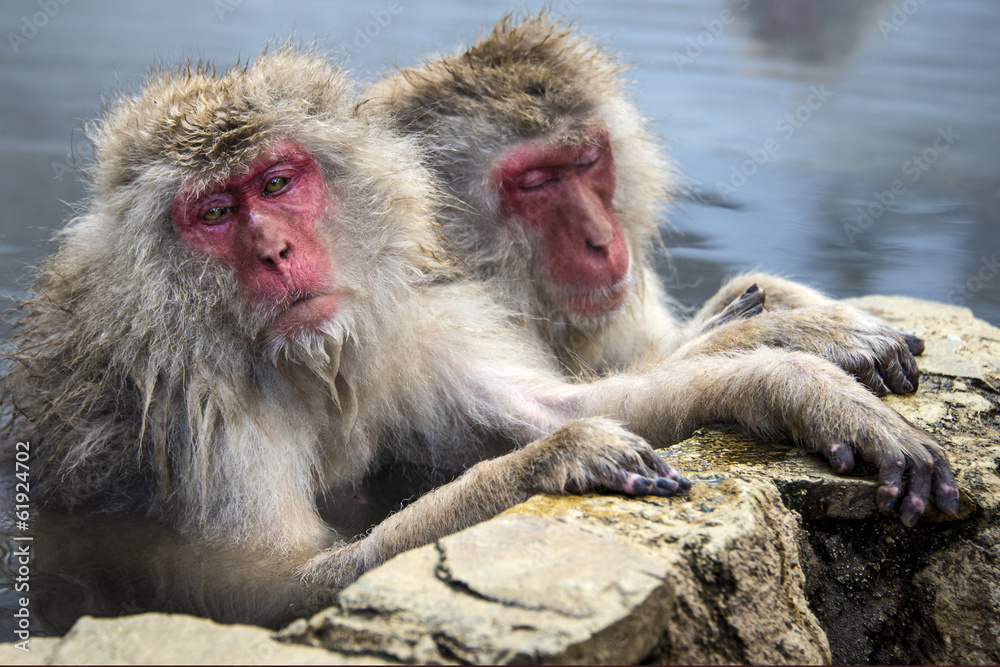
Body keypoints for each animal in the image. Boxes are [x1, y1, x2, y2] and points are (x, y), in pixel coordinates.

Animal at [1, 44, 960, 628]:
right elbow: (263, 587)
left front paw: (801, 375)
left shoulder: (409, 320)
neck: (293, 359)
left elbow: (565, 399)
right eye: (212, 213)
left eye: (276, 182)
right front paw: (547, 463)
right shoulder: (195, 403)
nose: (275, 252)